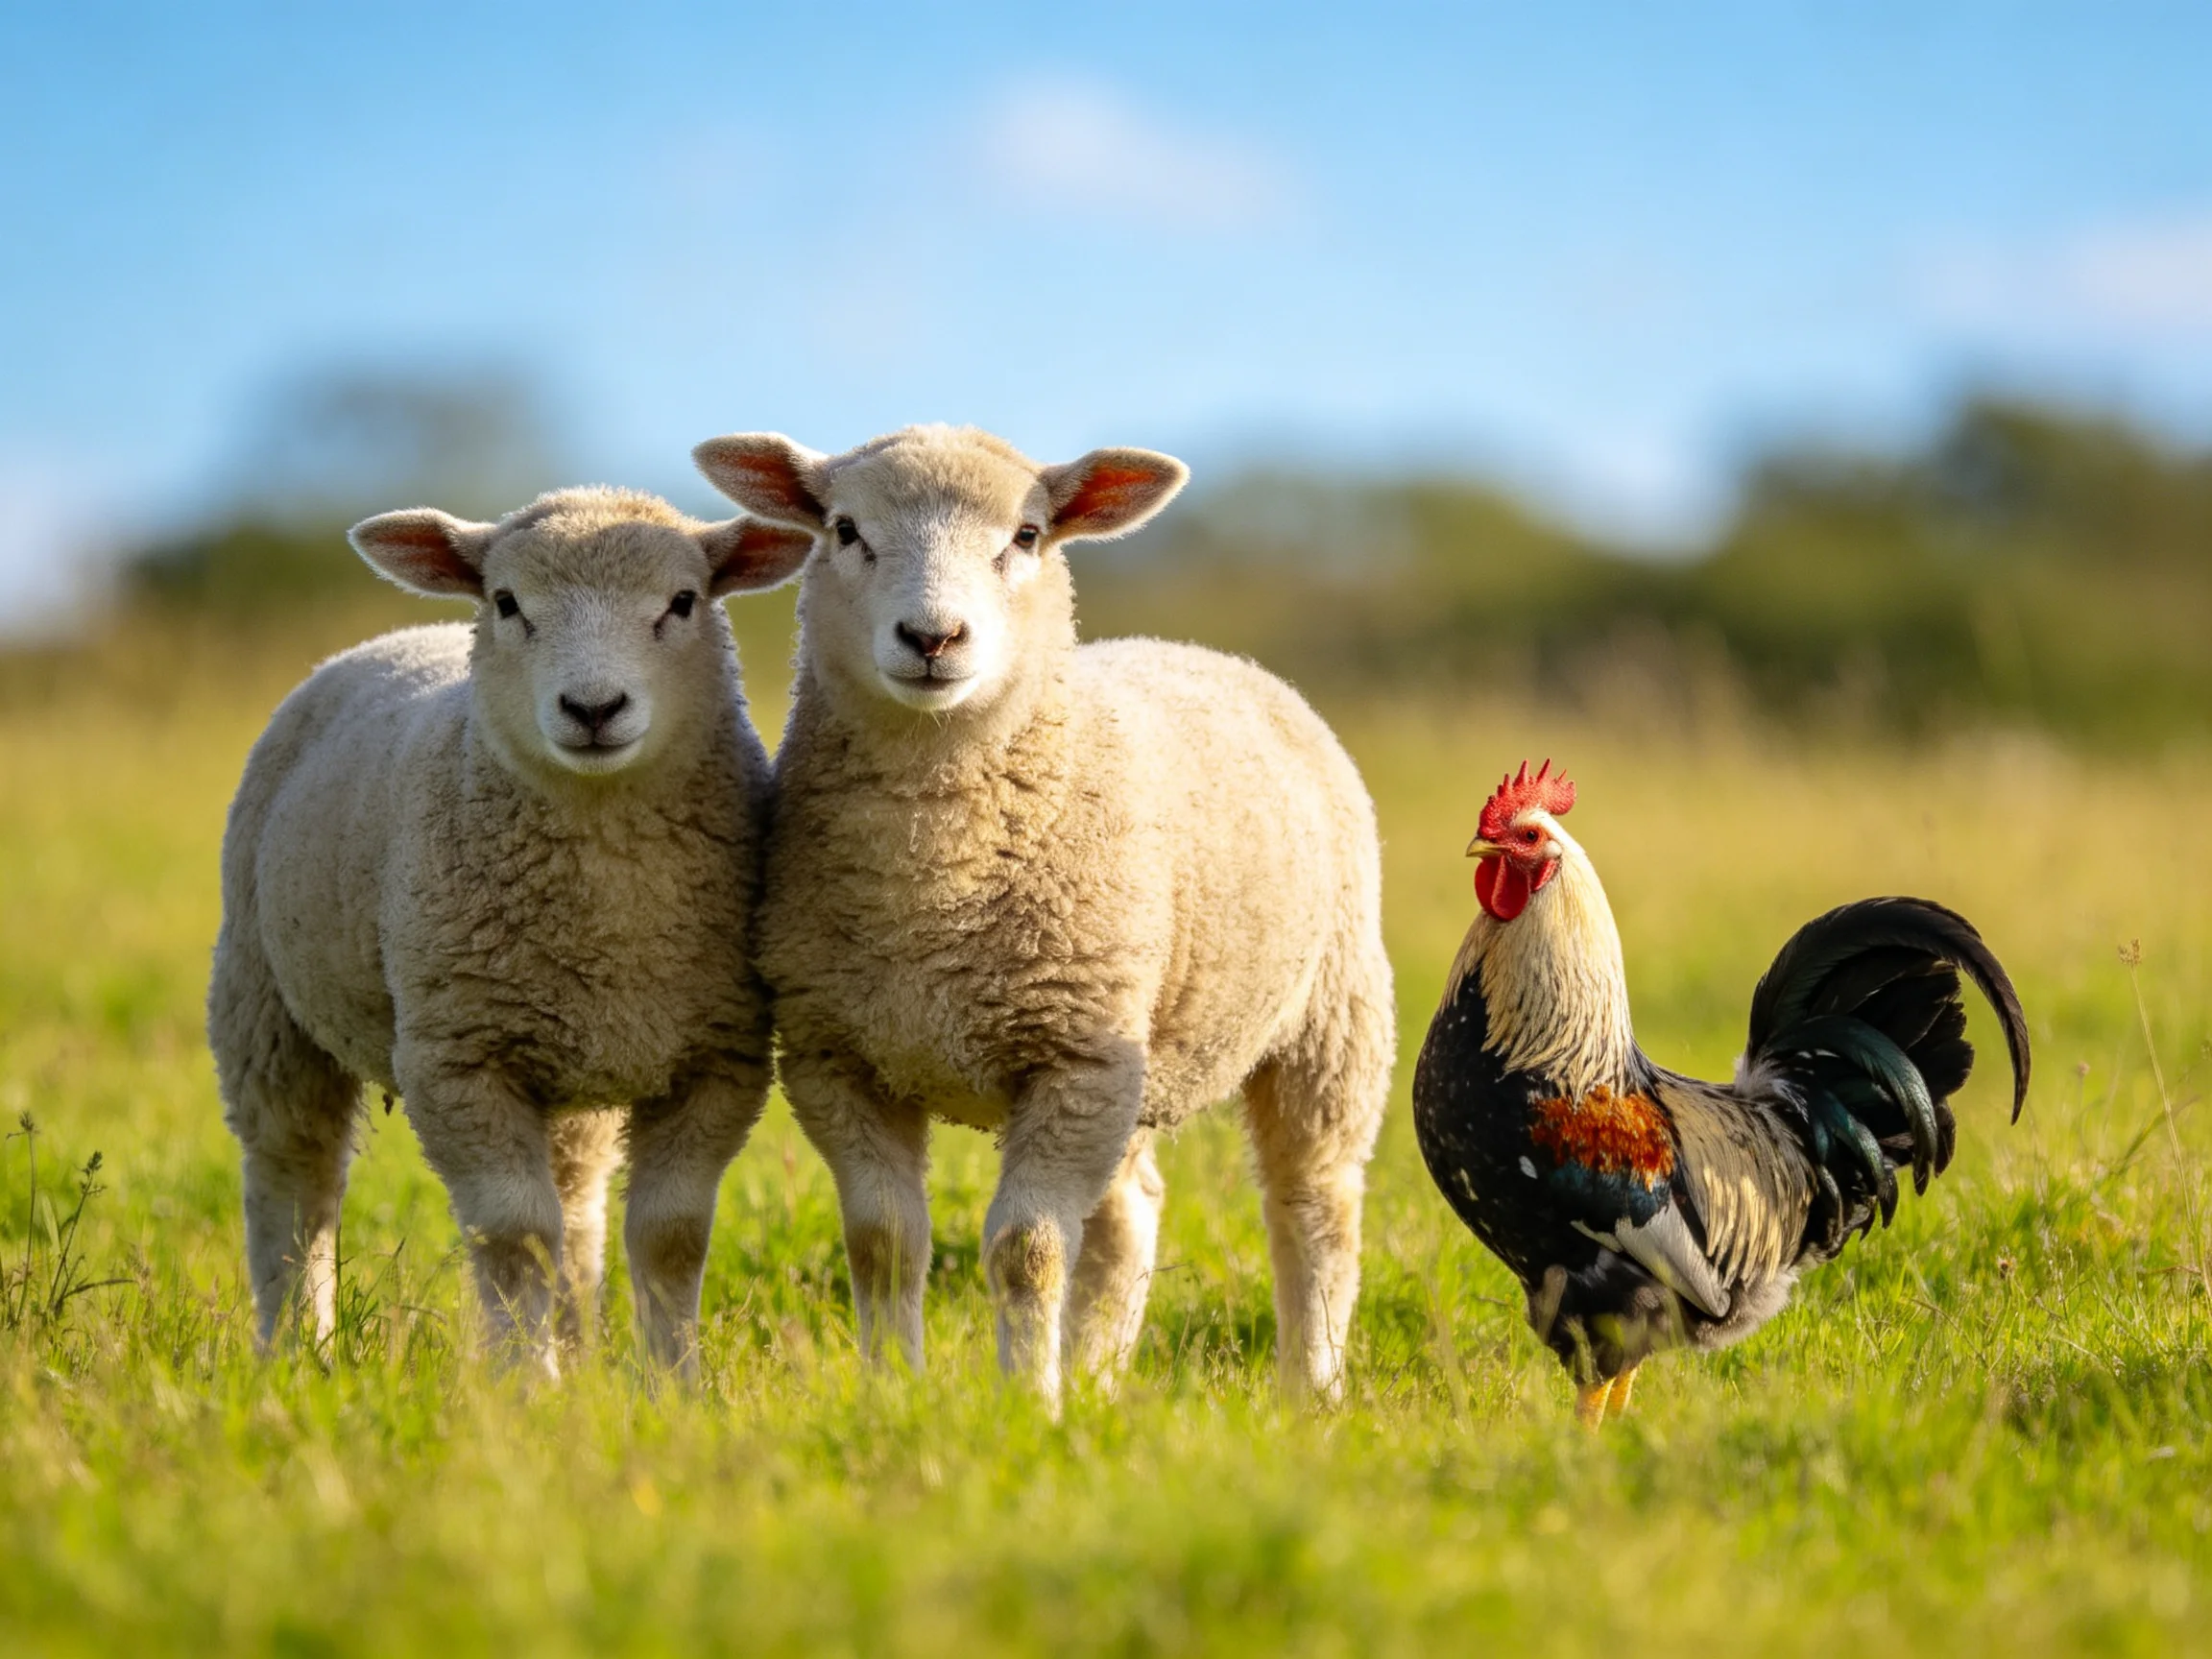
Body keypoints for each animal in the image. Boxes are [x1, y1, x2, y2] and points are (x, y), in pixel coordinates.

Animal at [207, 485, 812, 1375]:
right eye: (506, 602)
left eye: (682, 602)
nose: (593, 708)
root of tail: (397, 634)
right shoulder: (459, 1059)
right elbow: (514, 1234)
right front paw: (529, 1385)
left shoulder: (717, 1058)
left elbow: (669, 1236)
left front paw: (672, 1382)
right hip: (263, 999)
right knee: (293, 1185)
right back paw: (294, 1349)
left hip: (571, 1063)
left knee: (577, 1206)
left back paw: (578, 1342)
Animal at [693, 424, 1396, 1404]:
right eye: (845, 529)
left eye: (1026, 536)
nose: (933, 636)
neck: (933, 886)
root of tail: (1205, 649)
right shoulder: (837, 1057)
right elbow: (883, 1244)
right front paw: (894, 1391)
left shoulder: (1073, 1058)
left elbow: (1025, 1250)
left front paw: (1029, 1403)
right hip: (1131, 1055)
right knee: (1128, 1215)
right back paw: (1099, 1377)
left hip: (1328, 1014)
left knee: (1314, 1204)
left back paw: (1310, 1392)